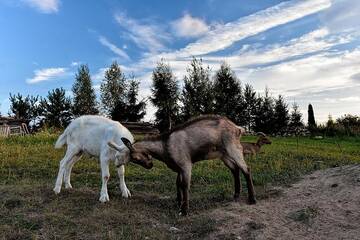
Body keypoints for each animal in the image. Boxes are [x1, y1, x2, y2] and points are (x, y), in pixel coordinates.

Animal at [109, 115, 256, 216]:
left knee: (246, 169)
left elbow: (185, 186)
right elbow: (177, 184)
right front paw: (179, 203)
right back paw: (236, 195)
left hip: (233, 148)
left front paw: (184, 210)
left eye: (134, 158)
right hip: (224, 155)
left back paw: (252, 199)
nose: (150, 165)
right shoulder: (179, 168)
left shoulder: (185, 165)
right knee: (235, 169)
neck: (164, 146)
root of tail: (238, 128)